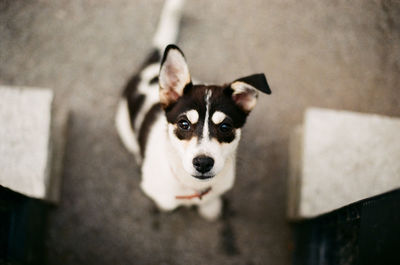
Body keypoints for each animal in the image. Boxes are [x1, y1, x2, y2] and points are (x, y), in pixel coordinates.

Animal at [115, 0, 272, 219]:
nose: (203, 163)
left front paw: (210, 208)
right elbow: (165, 202)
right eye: (184, 124)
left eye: (225, 127)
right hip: (123, 124)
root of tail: (151, 65)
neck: (191, 186)